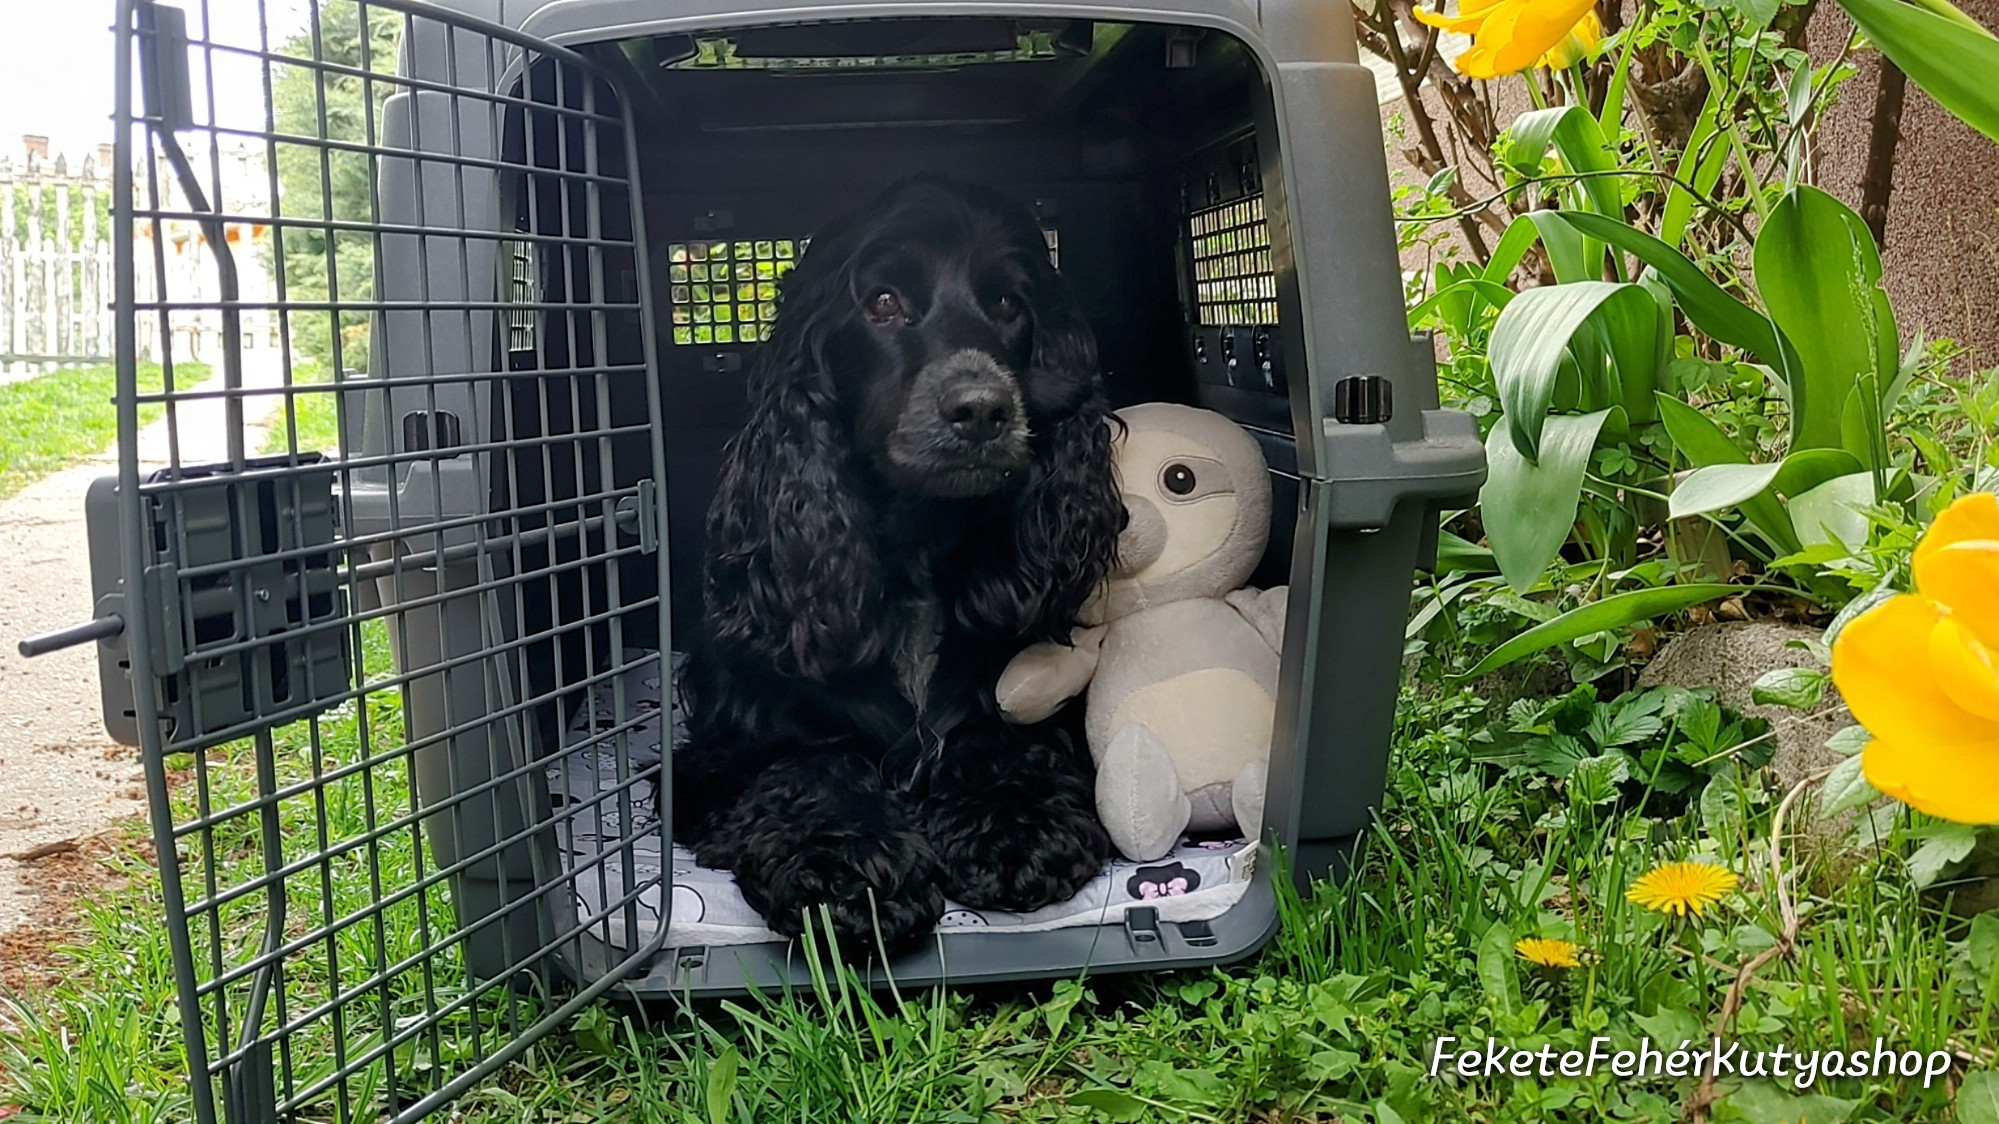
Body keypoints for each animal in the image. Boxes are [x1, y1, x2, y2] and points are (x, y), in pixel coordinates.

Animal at [671, 176, 1124, 951]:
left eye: (1010, 303)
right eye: (882, 301)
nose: (982, 409)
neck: (917, 548)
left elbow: (1003, 739)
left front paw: (1014, 824)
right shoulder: (723, 753)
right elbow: (810, 767)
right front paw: (847, 867)